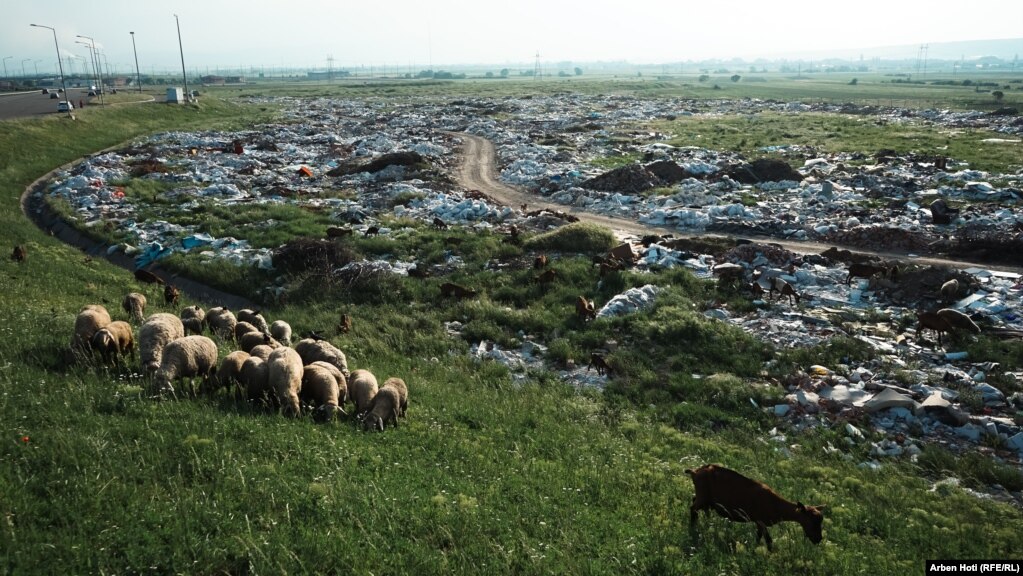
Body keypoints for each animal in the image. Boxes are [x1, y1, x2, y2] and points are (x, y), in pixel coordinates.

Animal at [683, 464, 826, 552]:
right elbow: (769, 541)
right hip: (703, 496)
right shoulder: (761, 521)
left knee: (695, 503)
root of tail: (695, 471)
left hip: (705, 498)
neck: (776, 505)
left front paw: (755, 550)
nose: (818, 539)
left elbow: (758, 538)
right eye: (812, 521)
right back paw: (693, 528)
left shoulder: (758, 523)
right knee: (692, 508)